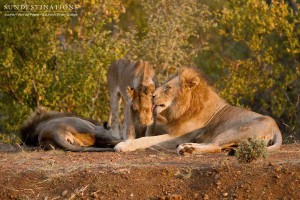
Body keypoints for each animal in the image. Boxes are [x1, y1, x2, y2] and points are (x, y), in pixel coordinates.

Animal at [113, 67, 282, 153]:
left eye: (168, 88)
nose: (152, 95)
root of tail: (276, 128)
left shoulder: (179, 135)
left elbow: (145, 139)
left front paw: (123, 145)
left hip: (234, 131)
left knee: (215, 146)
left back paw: (187, 149)